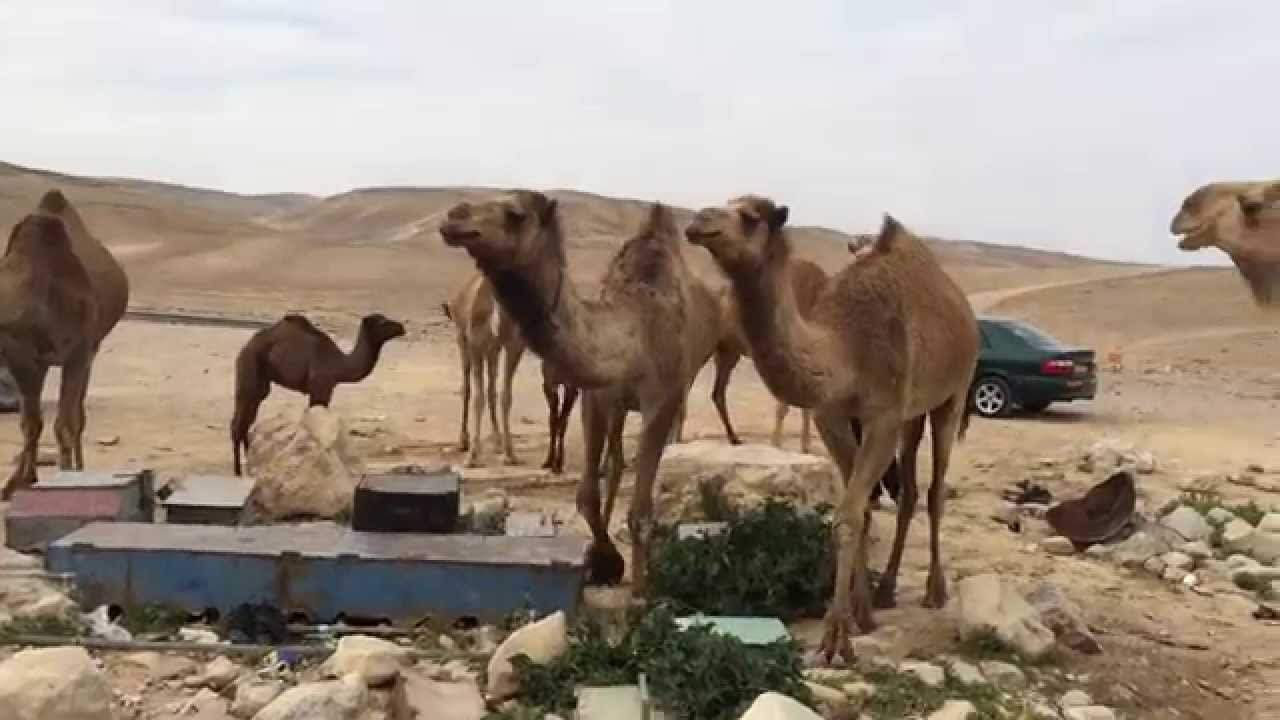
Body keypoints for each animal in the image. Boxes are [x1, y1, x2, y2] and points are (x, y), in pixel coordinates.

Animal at [0, 190, 129, 499]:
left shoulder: (77, 352)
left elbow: (64, 423)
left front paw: (66, 476)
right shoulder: (23, 356)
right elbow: (30, 423)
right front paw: (20, 480)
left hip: (88, 350)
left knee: (75, 418)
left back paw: (78, 467)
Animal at [230, 313, 405, 476]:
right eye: (382, 322)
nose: (401, 327)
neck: (340, 365)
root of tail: (244, 348)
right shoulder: (321, 387)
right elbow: (317, 426)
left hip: (260, 381)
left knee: (245, 419)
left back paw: (249, 467)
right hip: (250, 369)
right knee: (239, 421)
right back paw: (238, 470)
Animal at [442, 274, 526, 467]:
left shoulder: (465, 339)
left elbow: (467, 389)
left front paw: (463, 442)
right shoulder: (494, 348)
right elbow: (492, 389)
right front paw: (497, 441)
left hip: (475, 344)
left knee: (476, 395)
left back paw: (472, 456)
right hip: (514, 345)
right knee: (504, 394)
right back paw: (510, 454)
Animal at [687, 196, 978, 662]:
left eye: (750, 216)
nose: (699, 221)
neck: (844, 349)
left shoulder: (881, 415)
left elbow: (849, 512)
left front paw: (836, 636)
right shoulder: (833, 416)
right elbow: (858, 509)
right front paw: (862, 611)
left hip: (954, 392)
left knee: (935, 491)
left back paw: (935, 590)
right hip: (912, 414)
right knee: (910, 490)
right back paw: (888, 587)